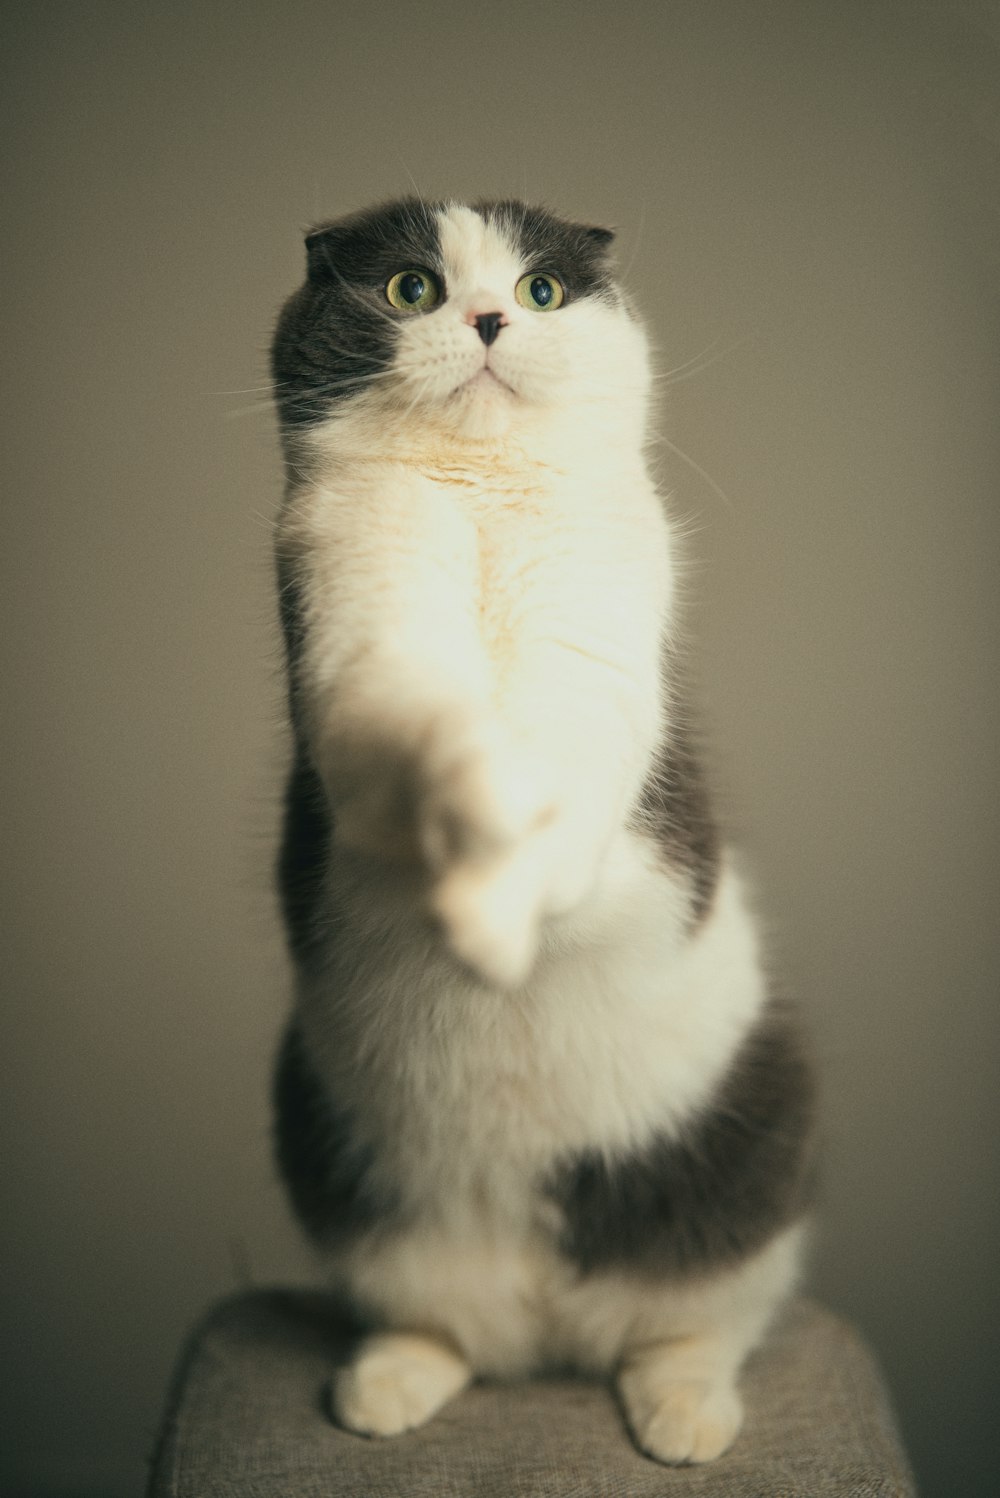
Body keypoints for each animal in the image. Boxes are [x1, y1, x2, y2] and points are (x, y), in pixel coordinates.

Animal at [269, 196, 814, 1462]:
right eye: (410, 288)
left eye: (543, 291)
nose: (485, 318)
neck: (476, 497)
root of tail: (549, 1324)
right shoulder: (356, 649)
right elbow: (428, 742)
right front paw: (470, 870)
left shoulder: (593, 668)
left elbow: (559, 794)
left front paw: (497, 925)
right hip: (337, 1162)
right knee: (436, 1323)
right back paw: (383, 1388)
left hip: (757, 1135)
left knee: (697, 1320)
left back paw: (683, 1419)